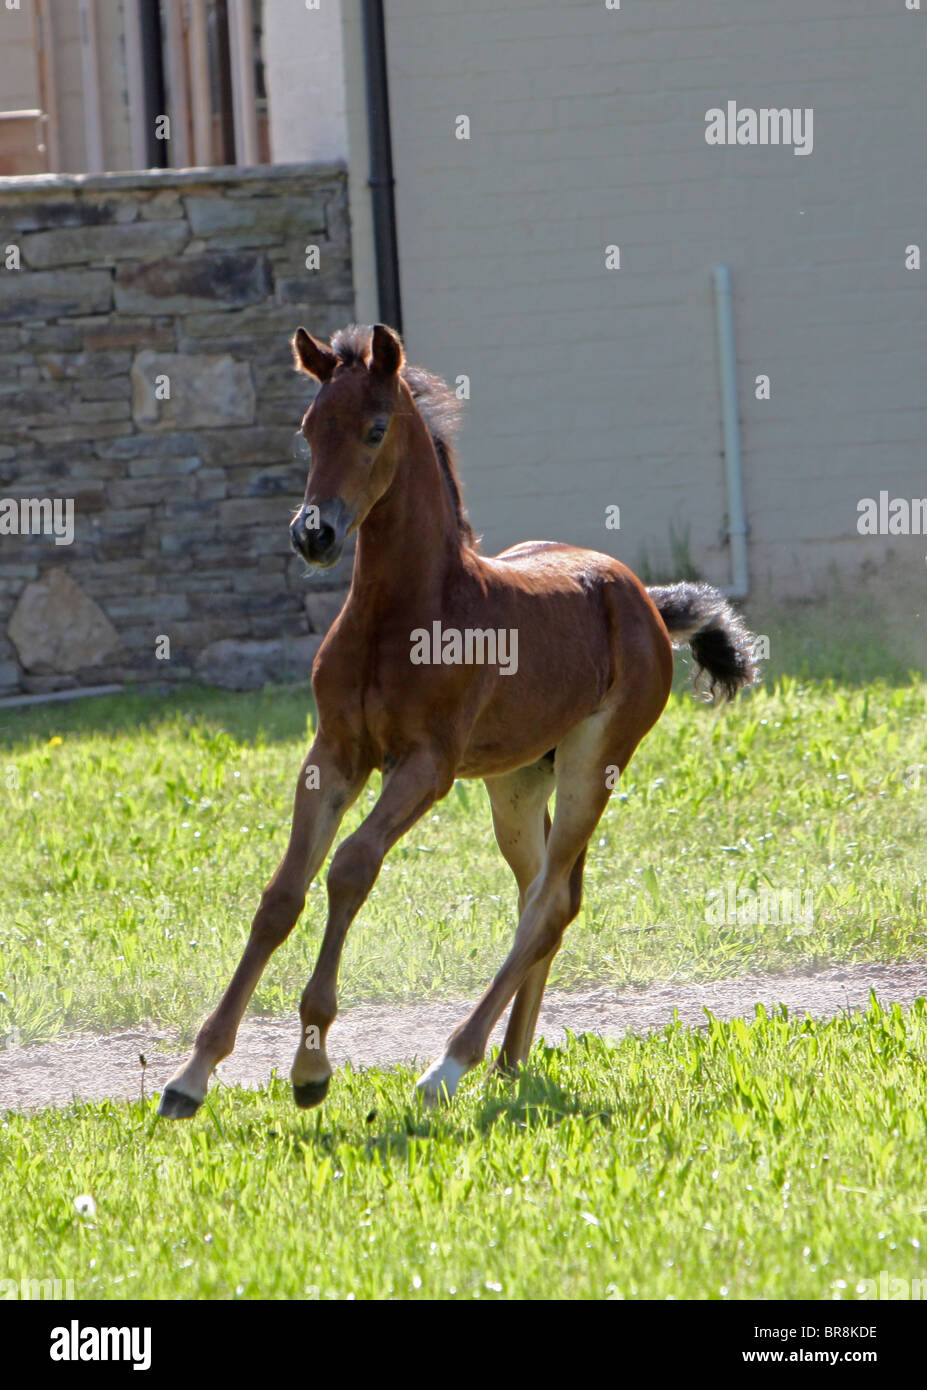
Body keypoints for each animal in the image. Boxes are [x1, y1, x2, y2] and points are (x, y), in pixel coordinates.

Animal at [159, 322, 758, 1118]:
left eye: (375, 428)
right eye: (308, 429)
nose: (313, 535)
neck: (400, 615)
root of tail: (643, 598)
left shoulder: (426, 766)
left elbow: (350, 868)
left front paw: (311, 1066)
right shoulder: (332, 754)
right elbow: (281, 895)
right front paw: (191, 1076)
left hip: (593, 761)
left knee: (548, 904)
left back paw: (449, 1065)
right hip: (515, 782)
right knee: (545, 895)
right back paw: (508, 1058)